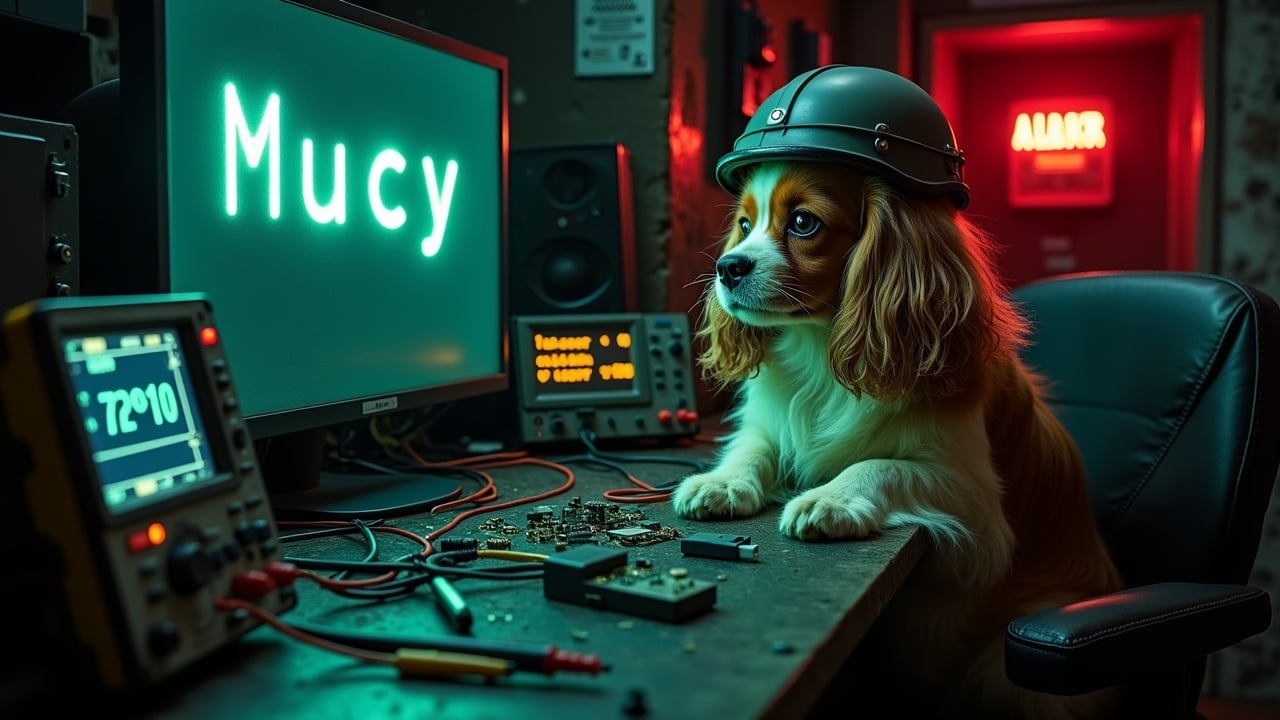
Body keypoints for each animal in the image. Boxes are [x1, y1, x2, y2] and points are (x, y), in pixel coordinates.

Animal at [675, 161, 1126, 717]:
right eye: (743, 224)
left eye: (803, 223)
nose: (728, 267)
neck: (820, 349)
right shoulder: (767, 426)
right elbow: (753, 448)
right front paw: (719, 484)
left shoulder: (978, 516)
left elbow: (879, 465)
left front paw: (829, 499)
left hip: (1012, 679)